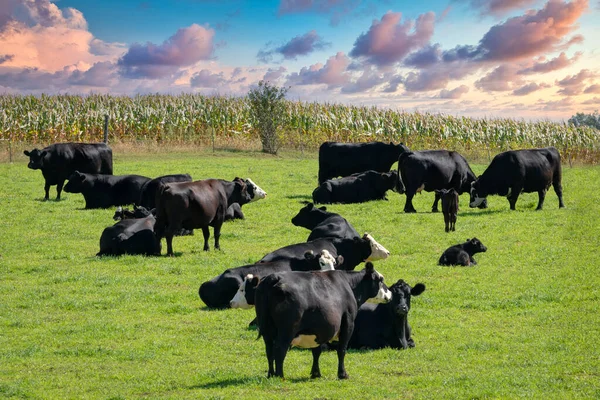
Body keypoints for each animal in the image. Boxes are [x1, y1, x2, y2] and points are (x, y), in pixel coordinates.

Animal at [254, 262, 392, 378]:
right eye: (381, 279)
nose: (390, 293)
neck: (349, 285)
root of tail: (274, 277)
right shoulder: (348, 323)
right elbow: (342, 350)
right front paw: (342, 374)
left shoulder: (319, 328)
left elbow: (316, 351)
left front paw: (316, 373)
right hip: (287, 330)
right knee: (279, 349)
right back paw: (280, 376)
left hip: (267, 330)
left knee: (269, 350)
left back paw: (271, 374)